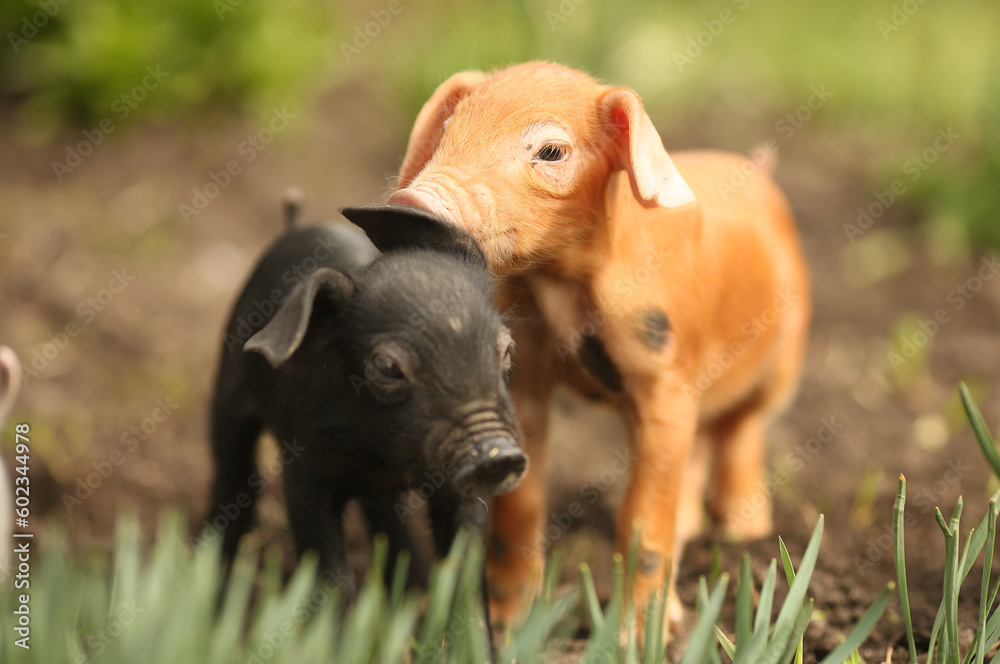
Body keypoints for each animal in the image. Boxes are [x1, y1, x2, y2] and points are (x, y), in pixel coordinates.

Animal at [206, 198, 527, 599]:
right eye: (387, 366)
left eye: (507, 349)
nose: (498, 455)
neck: (384, 457)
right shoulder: (303, 472)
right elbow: (328, 569)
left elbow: (464, 569)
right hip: (228, 391)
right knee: (232, 475)